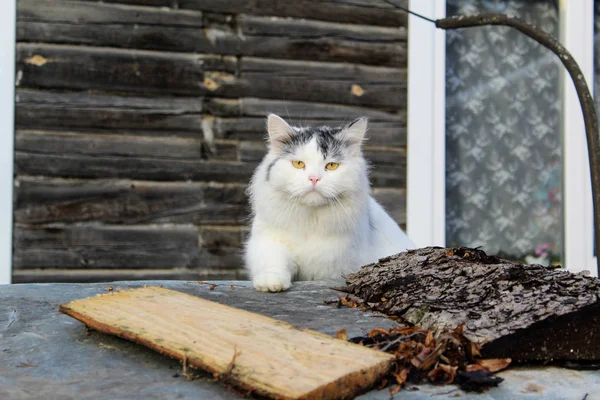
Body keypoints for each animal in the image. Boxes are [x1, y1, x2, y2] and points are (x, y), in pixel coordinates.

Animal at [243, 114, 412, 292]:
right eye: (299, 164)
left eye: (331, 165)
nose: (314, 178)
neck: (310, 221)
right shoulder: (267, 241)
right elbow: (273, 262)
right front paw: (271, 284)